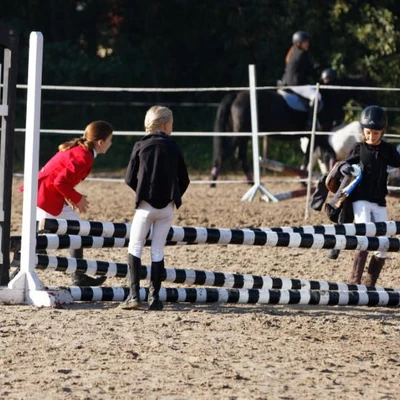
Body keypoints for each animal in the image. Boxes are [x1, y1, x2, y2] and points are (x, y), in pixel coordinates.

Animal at [211, 75, 374, 184]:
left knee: (240, 156)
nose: (373, 107)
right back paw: (213, 179)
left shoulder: (314, 136)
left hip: (244, 135)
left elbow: (318, 155)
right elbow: (317, 155)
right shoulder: (319, 133)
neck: (330, 96)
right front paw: (303, 179)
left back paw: (251, 182)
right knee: (227, 153)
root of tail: (236, 95)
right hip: (241, 134)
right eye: (368, 90)